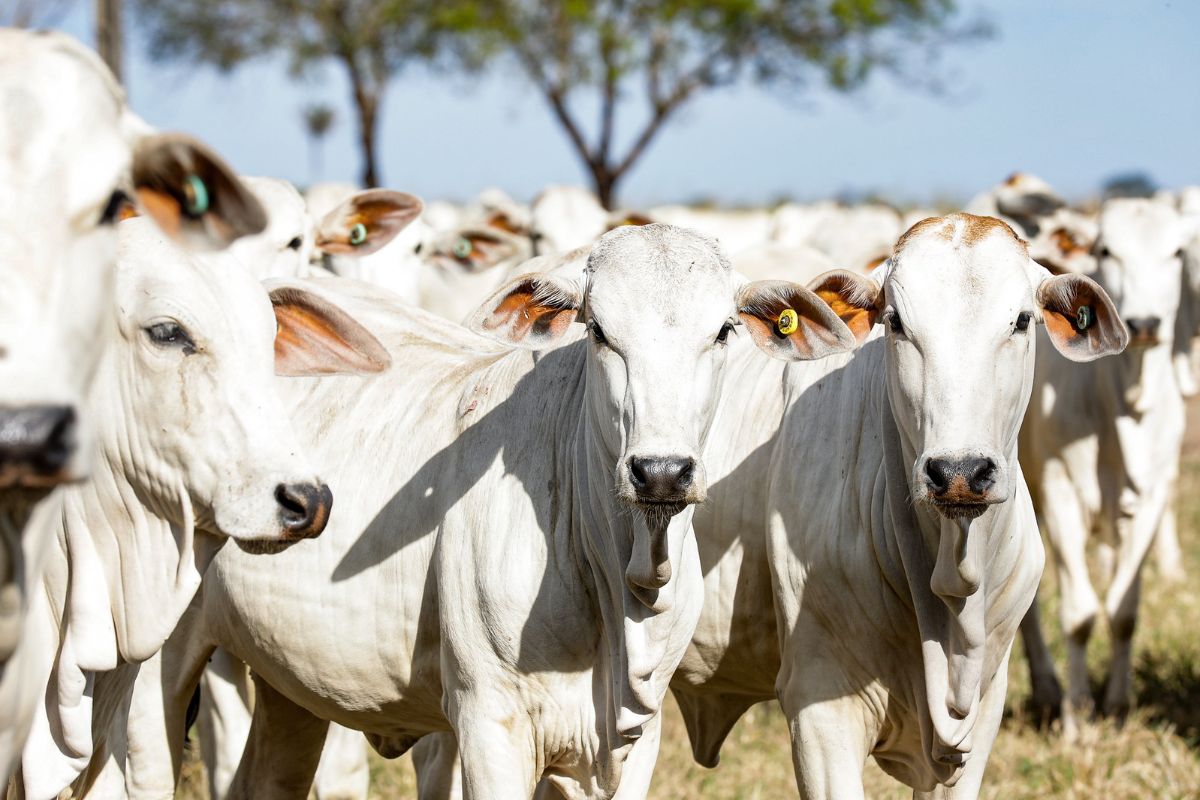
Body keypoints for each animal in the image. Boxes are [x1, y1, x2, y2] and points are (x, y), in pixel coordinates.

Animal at [129, 224, 864, 800]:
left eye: (724, 331)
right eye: (600, 332)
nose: (660, 471)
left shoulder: (638, 739)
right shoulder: (491, 727)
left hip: (291, 684)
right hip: (154, 670)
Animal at [1022, 196, 1190, 734]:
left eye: (1178, 251)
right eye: (1105, 250)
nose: (1145, 324)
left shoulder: (1153, 497)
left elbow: (1123, 611)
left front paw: (1117, 707)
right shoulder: (1059, 491)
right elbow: (1078, 614)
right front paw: (1077, 718)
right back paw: (1047, 690)